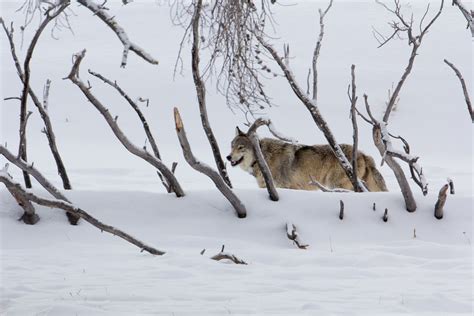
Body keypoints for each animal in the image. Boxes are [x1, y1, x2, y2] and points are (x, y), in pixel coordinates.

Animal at [228, 127, 386, 191]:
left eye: (241, 147)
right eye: (232, 146)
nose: (228, 157)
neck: (264, 159)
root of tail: (363, 154)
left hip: (335, 185)